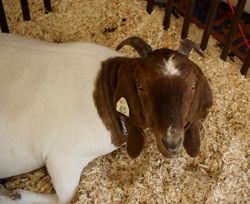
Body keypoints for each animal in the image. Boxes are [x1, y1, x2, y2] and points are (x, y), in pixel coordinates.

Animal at [0, 34, 213, 203]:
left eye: (193, 84)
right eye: (139, 85)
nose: (171, 143)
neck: (106, 88)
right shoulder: (62, 159)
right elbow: (63, 197)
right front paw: (13, 195)